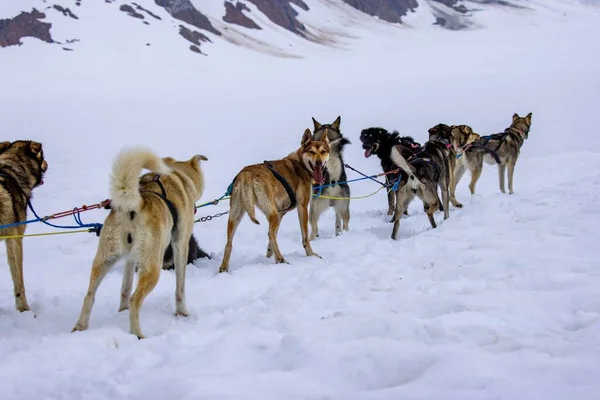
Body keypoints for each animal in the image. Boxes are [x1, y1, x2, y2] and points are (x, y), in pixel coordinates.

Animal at [72, 148, 206, 340]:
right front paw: (182, 312)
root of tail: (134, 204)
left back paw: (80, 327)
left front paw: (122, 311)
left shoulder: (130, 257)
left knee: (90, 295)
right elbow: (180, 287)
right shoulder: (180, 244)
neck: (177, 177)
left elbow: (125, 288)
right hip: (153, 267)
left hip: (105, 260)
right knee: (135, 300)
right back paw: (137, 334)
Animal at [218, 130, 328, 274]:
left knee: (229, 243)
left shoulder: (280, 212)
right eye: (311, 152)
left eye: (323, 151)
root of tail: (246, 173)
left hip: (237, 216)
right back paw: (281, 259)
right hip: (271, 213)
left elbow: (273, 237)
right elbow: (304, 237)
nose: (319, 163)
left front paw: (270, 254)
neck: (300, 164)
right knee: (269, 233)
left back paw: (223, 268)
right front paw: (311, 254)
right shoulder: (302, 207)